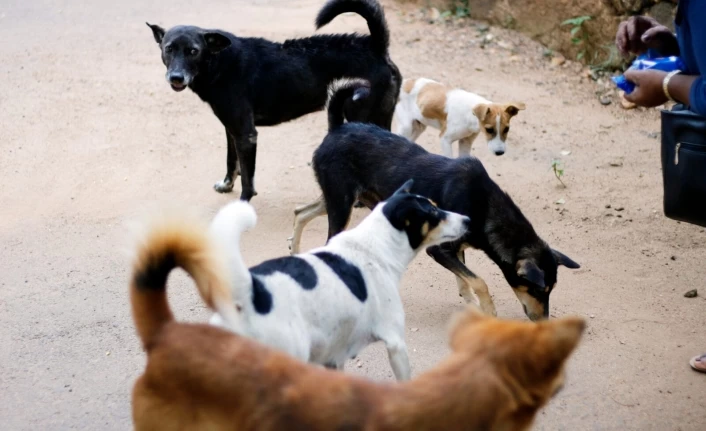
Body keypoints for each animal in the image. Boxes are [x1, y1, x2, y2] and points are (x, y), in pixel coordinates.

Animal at [147, 0, 402, 201]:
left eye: (193, 51)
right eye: (169, 49)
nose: (176, 77)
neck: (219, 61)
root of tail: (376, 46)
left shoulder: (246, 134)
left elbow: (247, 180)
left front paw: (242, 203)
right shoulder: (231, 129)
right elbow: (231, 161)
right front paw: (227, 184)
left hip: (361, 115)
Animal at [396, 78, 524, 158]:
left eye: (507, 129)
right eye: (489, 130)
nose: (500, 152)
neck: (470, 115)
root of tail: (405, 81)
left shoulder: (465, 142)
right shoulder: (445, 139)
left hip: (419, 127)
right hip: (406, 127)